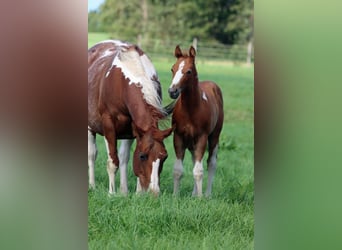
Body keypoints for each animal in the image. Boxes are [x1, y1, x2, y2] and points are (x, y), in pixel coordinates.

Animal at [88, 40, 172, 194]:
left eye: (164, 157)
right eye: (142, 156)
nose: (154, 192)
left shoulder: (133, 129)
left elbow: (124, 158)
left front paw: (131, 193)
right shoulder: (108, 126)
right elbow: (112, 161)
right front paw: (112, 193)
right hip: (90, 127)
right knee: (91, 154)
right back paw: (92, 185)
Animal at [168, 45, 224, 197]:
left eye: (188, 71)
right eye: (172, 69)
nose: (172, 91)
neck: (190, 110)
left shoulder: (202, 137)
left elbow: (199, 171)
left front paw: (200, 198)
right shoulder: (178, 136)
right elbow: (177, 169)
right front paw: (175, 196)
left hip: (214, 136)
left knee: (211, 163)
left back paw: (207, 195)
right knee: (195, 160)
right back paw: (193, 194)